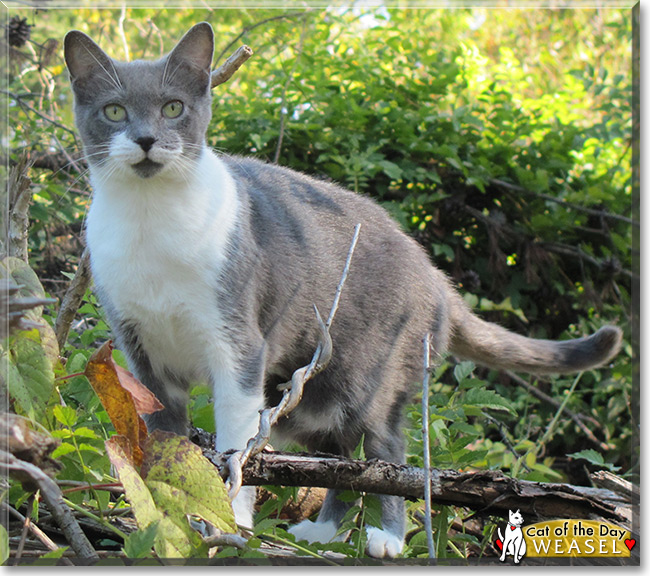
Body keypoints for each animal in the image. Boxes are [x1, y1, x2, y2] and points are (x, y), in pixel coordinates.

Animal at [63, 22, 620, 560]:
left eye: (173, 107)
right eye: (114, 111)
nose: (146, 138)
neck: (150, 223)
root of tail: (436, 277)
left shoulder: (239, 345)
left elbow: (235, 444)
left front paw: (230, 524)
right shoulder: (142, 356)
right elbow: (164, 441)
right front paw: (165, 517)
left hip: (370, 373)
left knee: (387, 453)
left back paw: (387, 537)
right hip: (307, 395)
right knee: (340, 456)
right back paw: (324, 534)